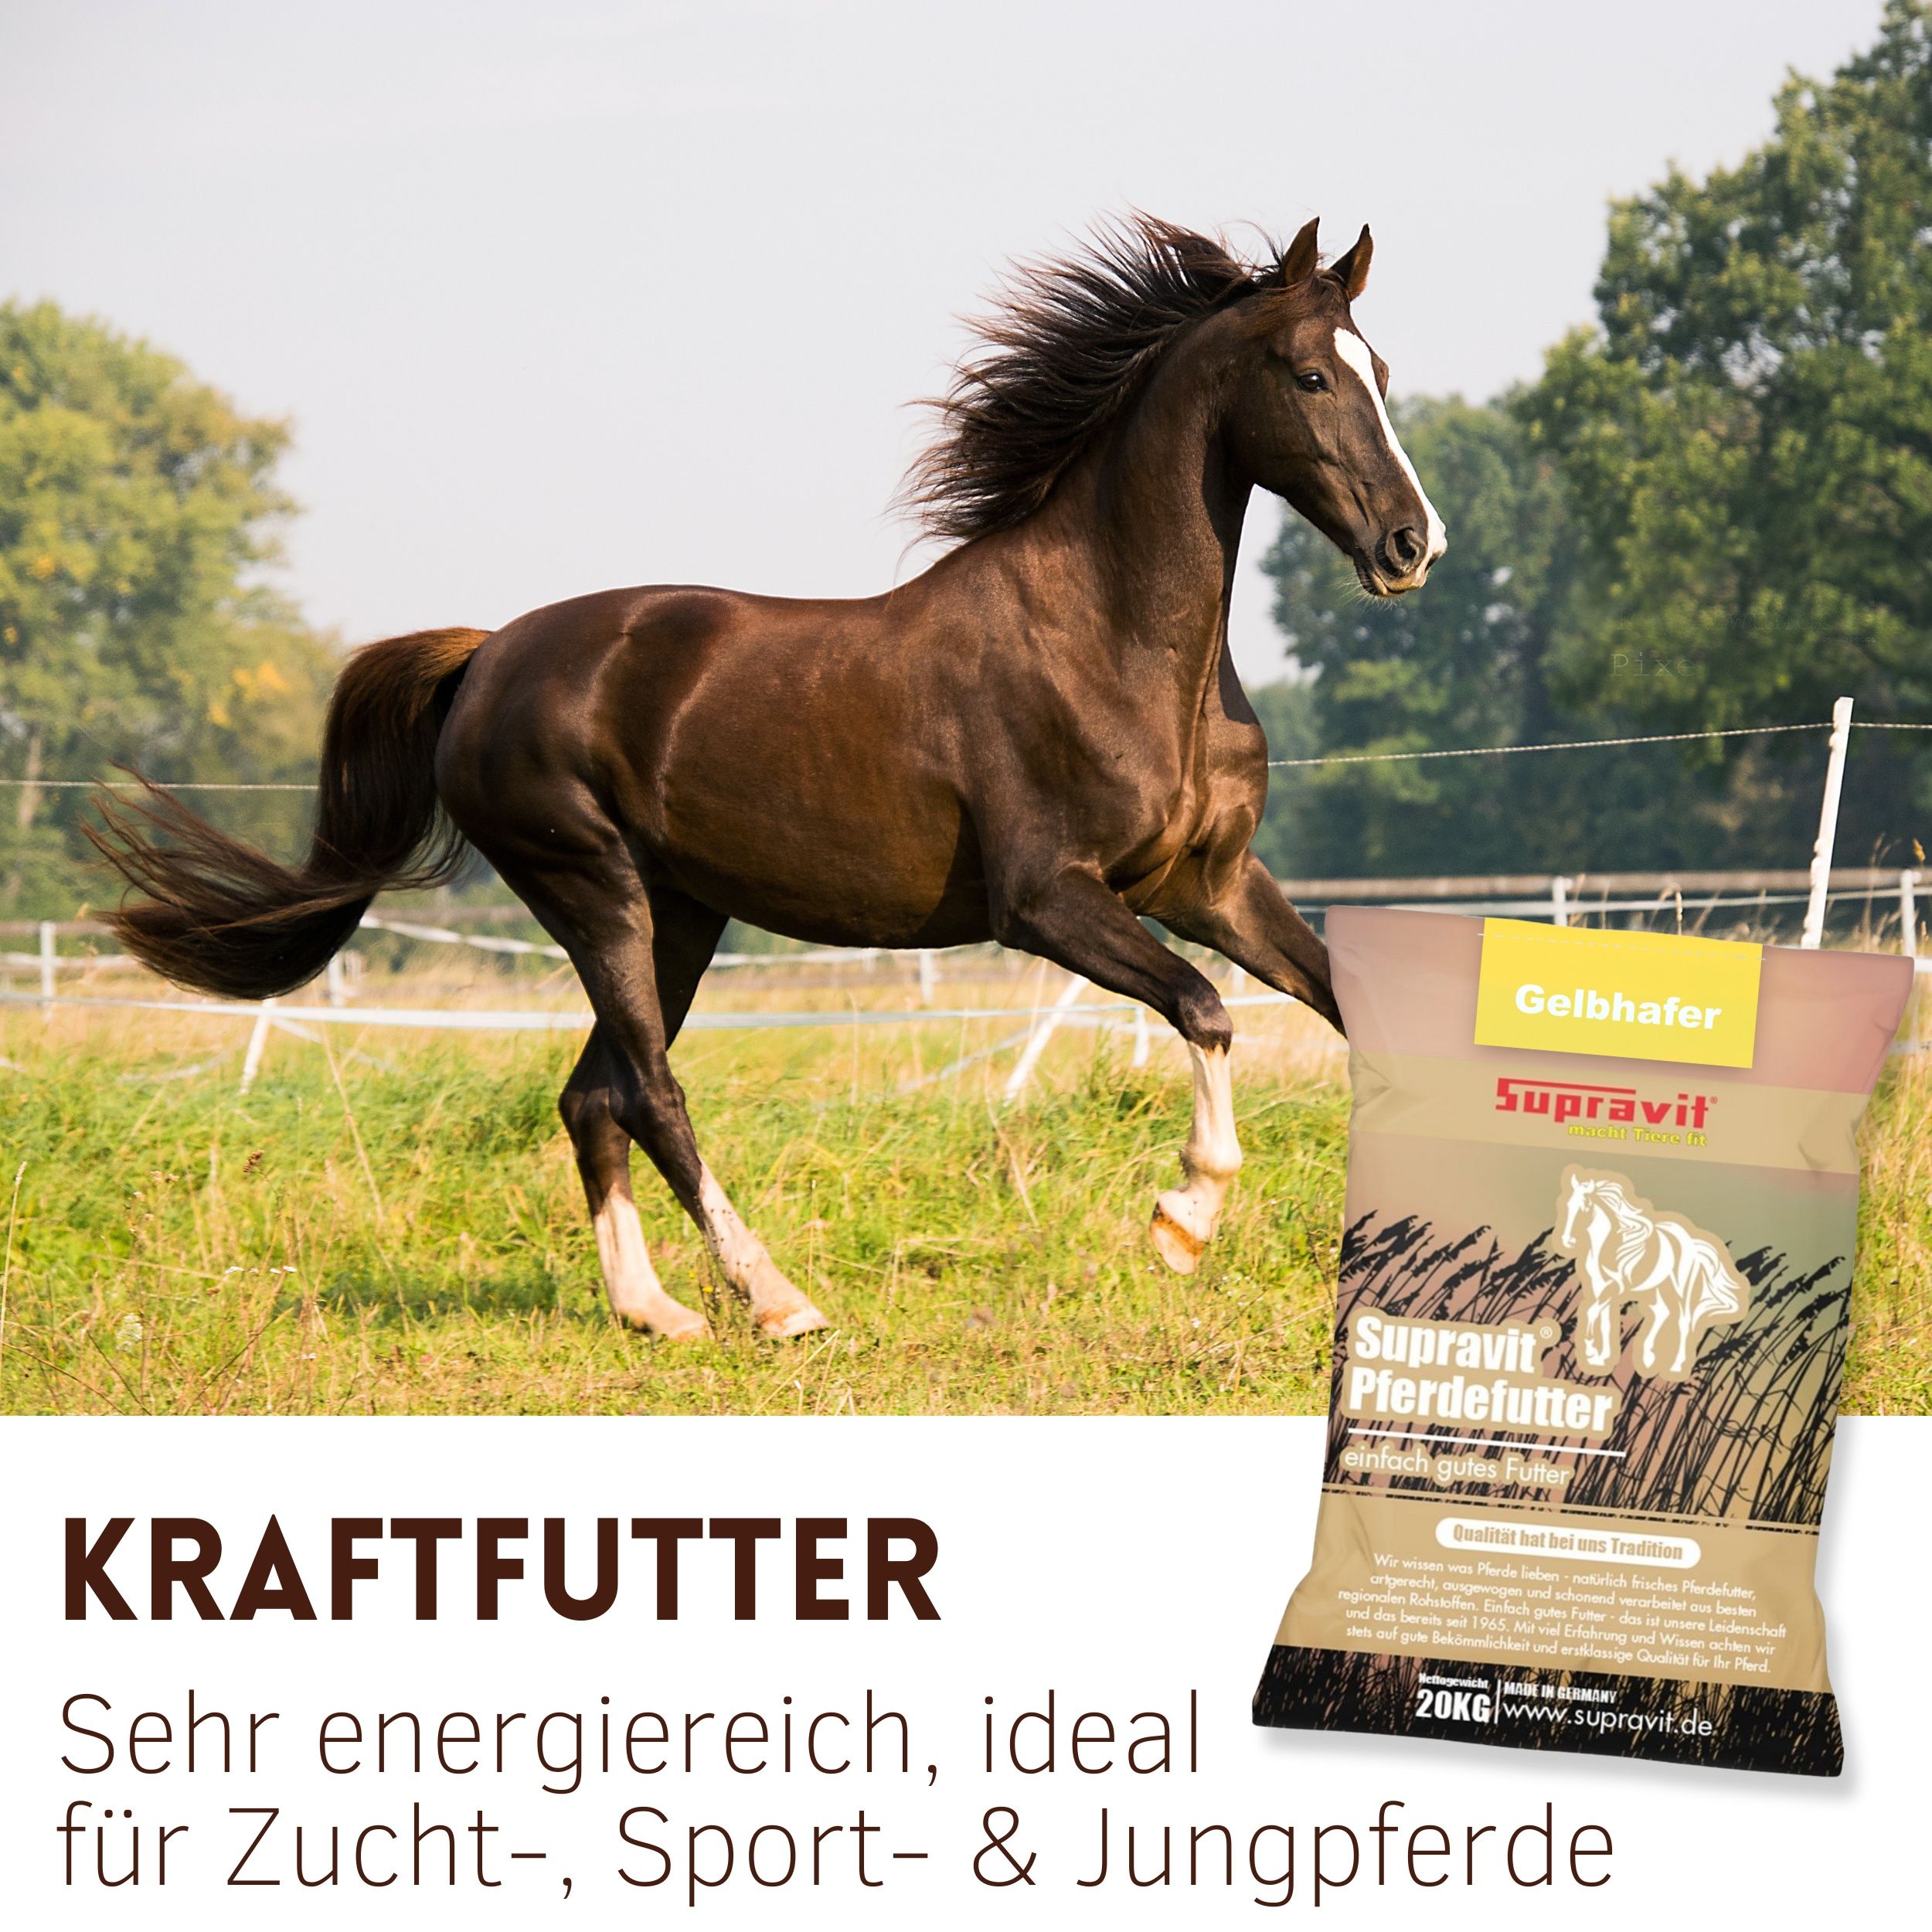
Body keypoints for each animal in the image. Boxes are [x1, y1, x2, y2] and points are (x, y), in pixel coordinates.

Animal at [90, 214, 1445, 1343]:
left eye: (1383, 372)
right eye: (1311, 375)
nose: (1410, 546)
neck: (1111, 639)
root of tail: (486, 657)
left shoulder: (1209, 884)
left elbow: (1350, 1011)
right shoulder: (1047, 902)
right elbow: (1206, 1009)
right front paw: (1182, 1221)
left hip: (680, 914)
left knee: (591, 1097)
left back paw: (655, 1313)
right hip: (594, 892)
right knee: (651, 1093)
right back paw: (777, 1301)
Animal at [1556, 1167, 1747, 1379]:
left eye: (1585, 1207)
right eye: (1567, 1204)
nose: (1567, 1242)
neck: (1608, 1244)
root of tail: (1695, 1245)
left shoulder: (1614, 1287)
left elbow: (1591, 1311)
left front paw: (1590, 1351)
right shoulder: (1600, 1286)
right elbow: (1604, 1319)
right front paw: (1600, 1358)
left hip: (1681, 1294)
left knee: (1684, 1322)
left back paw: (1675, 1367)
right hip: (1658, 1289)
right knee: (1661, 1312)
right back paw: (1648, 1359)